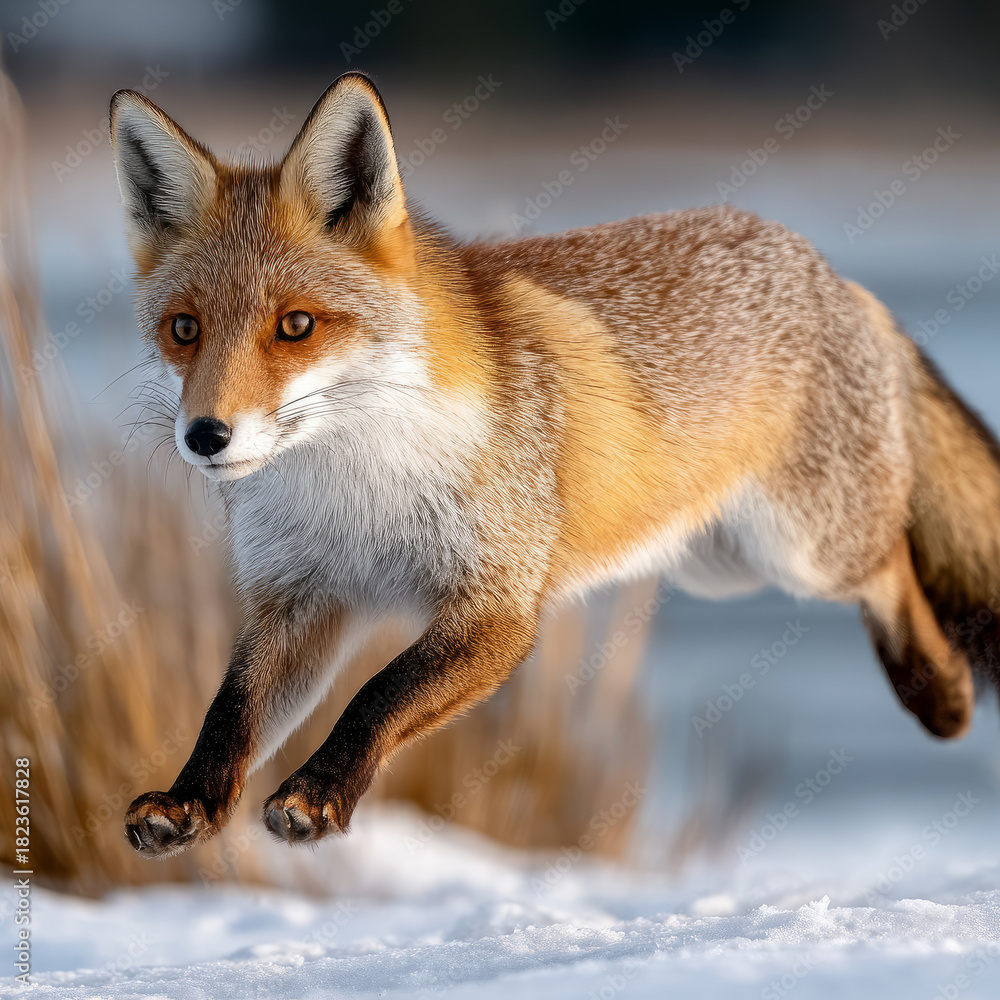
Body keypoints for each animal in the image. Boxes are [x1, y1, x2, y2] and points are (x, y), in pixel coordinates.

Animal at [111, 73, 1000, 859]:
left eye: (295, 325)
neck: (352, 486)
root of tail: (832, 273)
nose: (206, 435)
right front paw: (190, 802)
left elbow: (377, 694)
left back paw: (941, 693)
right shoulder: (302, 598)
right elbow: (232, 710)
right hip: (723, 563)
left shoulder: (498, 604)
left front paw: (319, 794)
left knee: (893, 565)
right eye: (184, 330)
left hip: (804, 549)